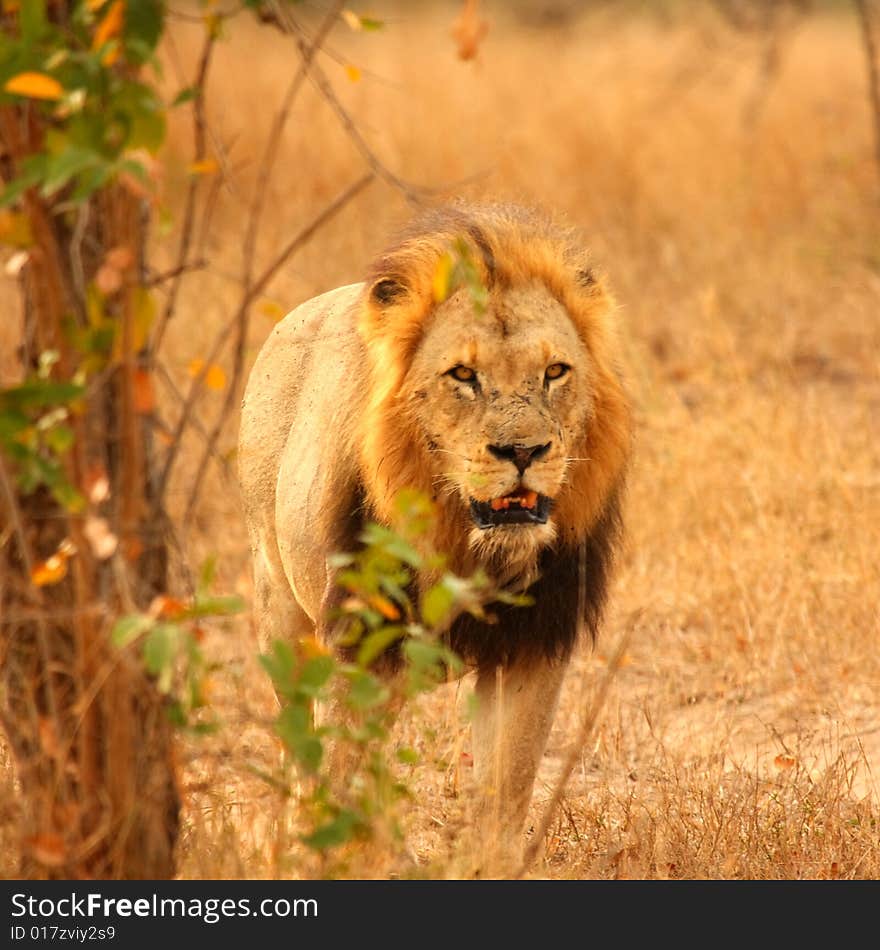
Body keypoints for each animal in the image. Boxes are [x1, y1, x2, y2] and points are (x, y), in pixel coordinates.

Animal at [237, 203, 628, 872]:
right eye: (463, 375)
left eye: (554, 372)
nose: (523, 452)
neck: (469, 548)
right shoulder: (360, 644)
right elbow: (348, 785)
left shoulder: (533, 647)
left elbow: (504, 794)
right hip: (279, 605)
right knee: (298, 745)